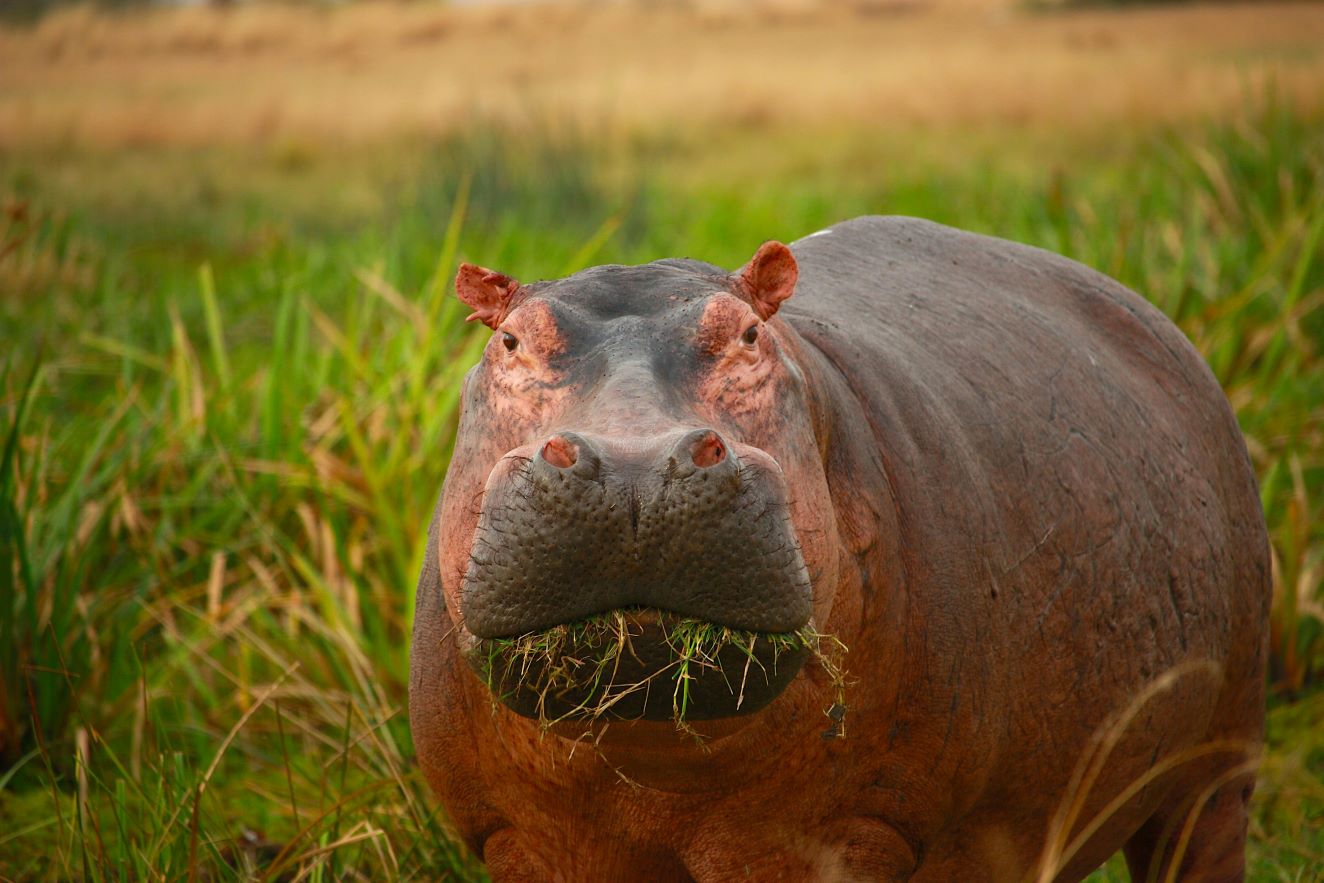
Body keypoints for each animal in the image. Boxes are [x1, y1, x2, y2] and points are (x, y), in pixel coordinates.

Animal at [409, 216, 1268, 881]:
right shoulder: (523, 838)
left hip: (1217, 762)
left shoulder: (843, 834)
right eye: (509, 341)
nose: (635, 465)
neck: (654, 761)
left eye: (748, 334)